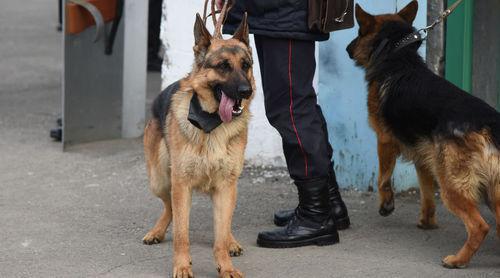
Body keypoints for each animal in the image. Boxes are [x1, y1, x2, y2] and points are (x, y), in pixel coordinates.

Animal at [144, 11, 254, 276]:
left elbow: (220, 235)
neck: (212, 123)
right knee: (169, 208)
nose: (246, 91)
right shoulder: (181, 184)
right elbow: (181, 234)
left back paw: (231, 241)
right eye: (223, 66)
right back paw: (157, 231)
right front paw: (182, 266)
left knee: (225, 224)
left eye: (246, 65)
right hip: (159, 180)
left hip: (229, 189)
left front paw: (226, 266)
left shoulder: (225, 186)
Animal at [346, 1, 500, 268]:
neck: (398, 57)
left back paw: (458, 260)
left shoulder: (384, 141)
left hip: (452, 185)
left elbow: (383, 178)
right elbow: (427, 193)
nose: (347, 49)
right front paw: (426, 222)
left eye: (359, 32)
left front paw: (386, 204)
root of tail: (489, 126)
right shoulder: (424, 158)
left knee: (479, 226)